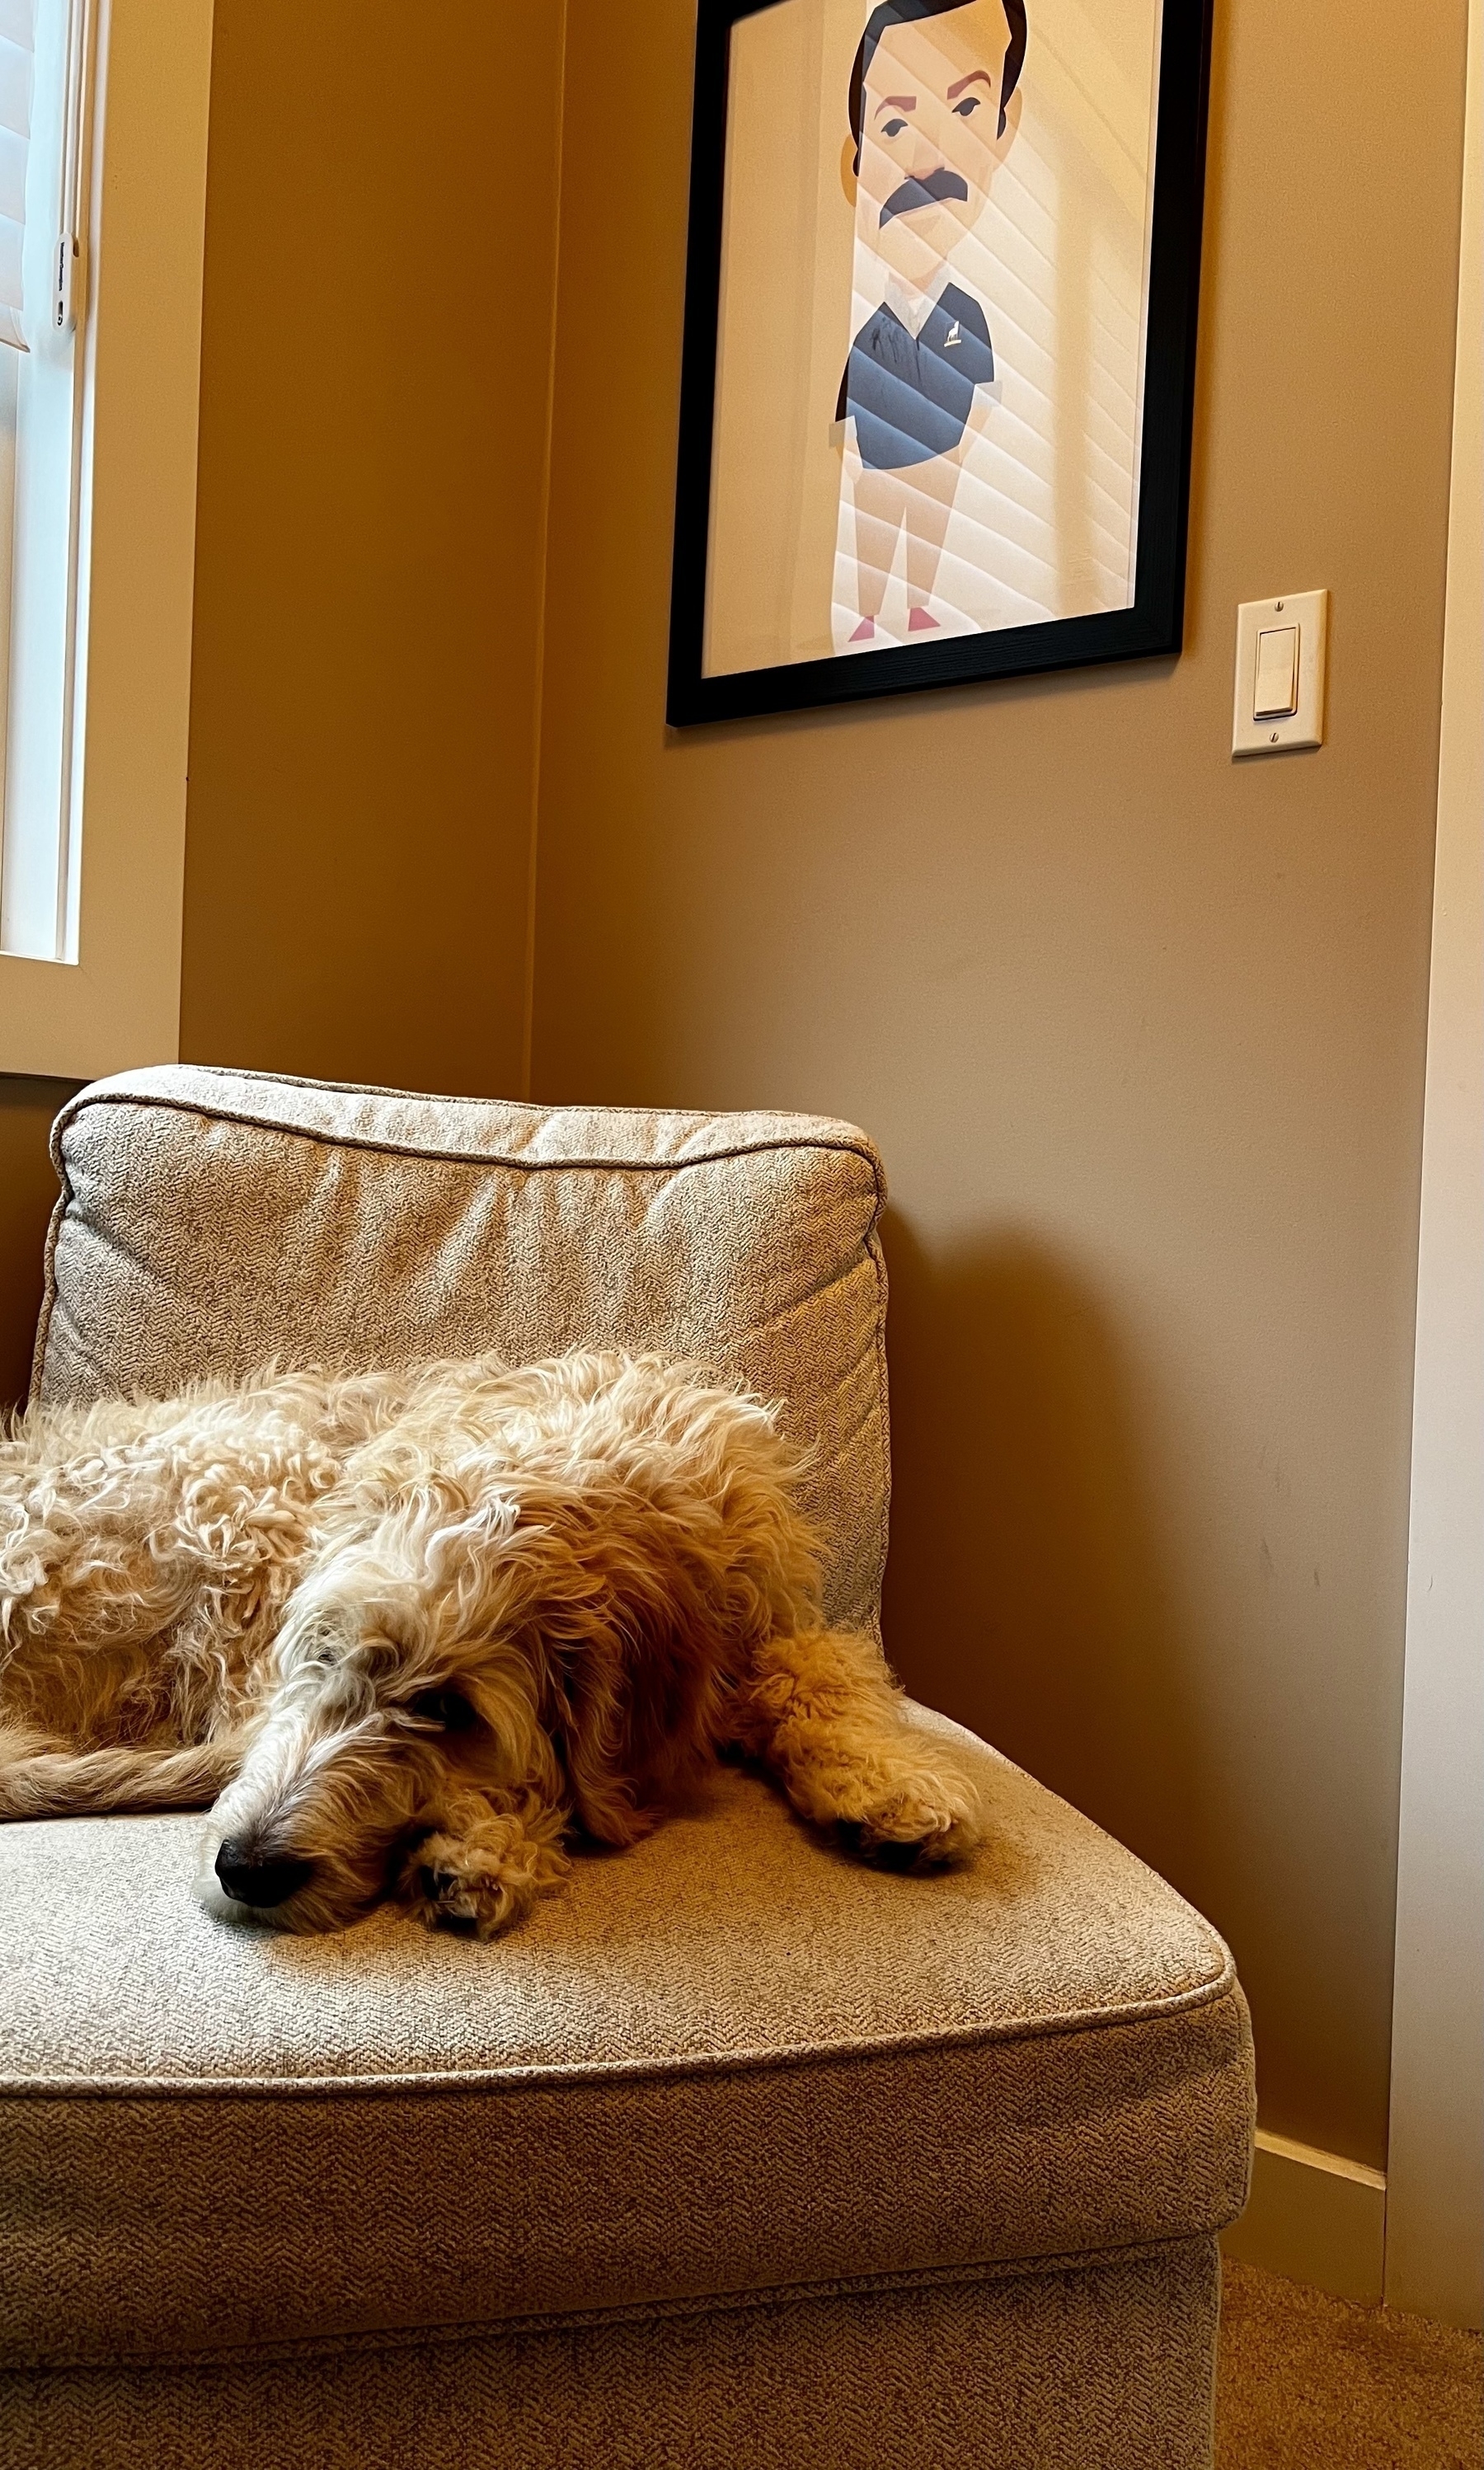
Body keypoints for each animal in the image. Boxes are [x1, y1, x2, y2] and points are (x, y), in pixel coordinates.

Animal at [2, 1363, 983, 1936]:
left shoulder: (777, 1612)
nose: (244, 1868)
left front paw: (890, 1779)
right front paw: (486, 1843)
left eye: (447, 1708)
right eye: (315, 1658)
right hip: (245, 1491)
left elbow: (821, 1671)